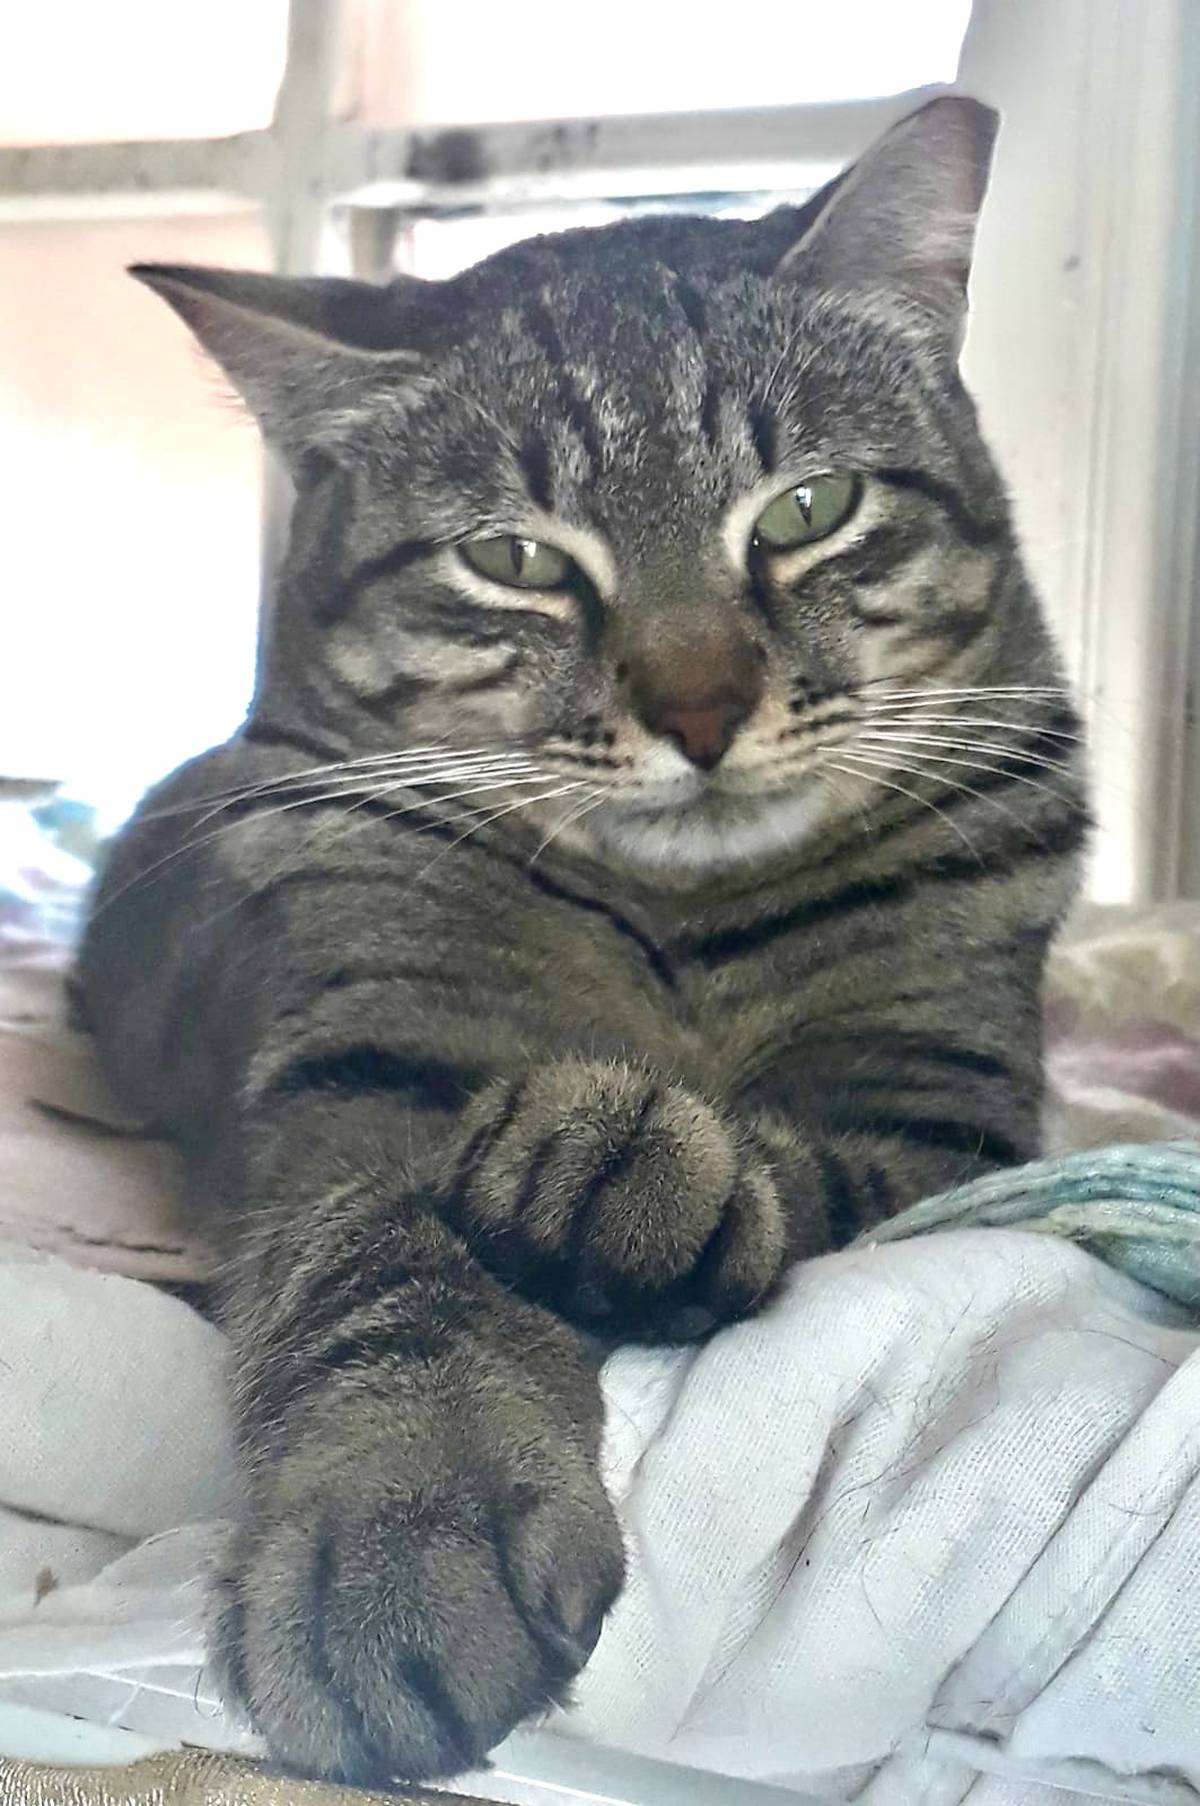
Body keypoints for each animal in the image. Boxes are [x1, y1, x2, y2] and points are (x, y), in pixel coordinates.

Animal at [78, 96, 1087, 1786]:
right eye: (518, 560)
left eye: (808, 511)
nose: (701, 711)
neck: (687, 936)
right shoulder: (363, 1070)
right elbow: (386, 1272)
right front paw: (400, 1524)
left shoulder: (952, 1116)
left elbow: (832, 1179)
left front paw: (644, 1165)